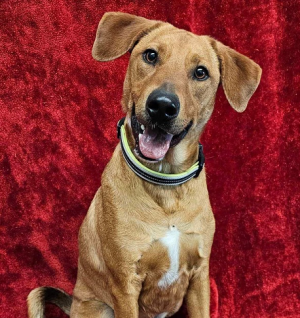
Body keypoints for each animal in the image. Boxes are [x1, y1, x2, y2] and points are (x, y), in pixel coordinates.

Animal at [27, 11, 262, 316]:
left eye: (201, 72)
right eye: (151, 55)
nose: (162, 106)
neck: (165, 187)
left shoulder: (199, 277)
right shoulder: (125, 284)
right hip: (98, 307)